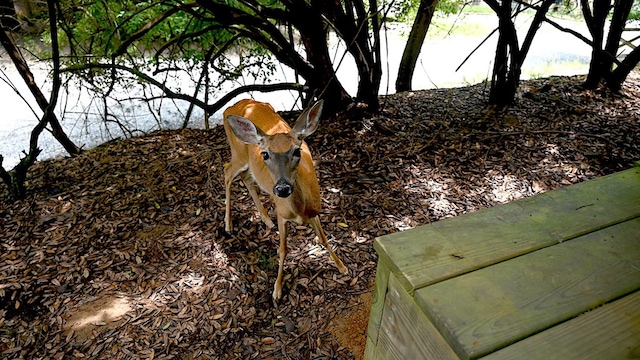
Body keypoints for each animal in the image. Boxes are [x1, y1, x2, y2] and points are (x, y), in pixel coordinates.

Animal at [222, 98, 348, 300]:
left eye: (297, 151)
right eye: (265, 154)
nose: (282, 188)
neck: (300, 211)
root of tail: (233, 106)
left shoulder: (315, 211)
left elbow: (323, 239)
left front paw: (342, 267)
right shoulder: (281, 213)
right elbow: (282, 250)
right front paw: (277, 290)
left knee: (246, 178)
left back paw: (266, 219)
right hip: (238, 153)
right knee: (227, 172)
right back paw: (228, 225)